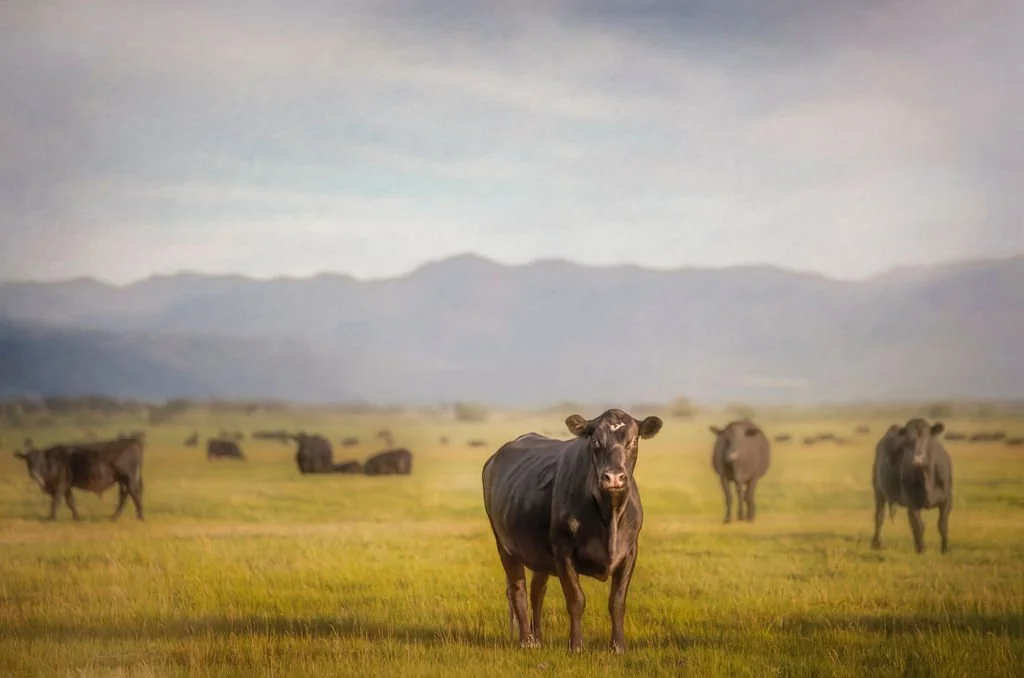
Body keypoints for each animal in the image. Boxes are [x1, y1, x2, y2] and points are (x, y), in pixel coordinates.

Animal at [13, 436, 144, 521]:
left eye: (40, 460)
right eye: (28, 460)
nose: (33, 473)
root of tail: (133, 441)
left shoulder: (60, 485)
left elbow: (55, 501)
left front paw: (51, 517)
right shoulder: (67, 486)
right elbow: (70, 501)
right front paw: (76, 517)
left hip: (128, 478)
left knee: (135, 494)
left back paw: (140, 516)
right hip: (122, 480)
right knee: (125, 495)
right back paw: (115, 517)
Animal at [482, 409, 663, 654]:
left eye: (633, 441)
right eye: (595, 441)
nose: (614, 477)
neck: (609, 516)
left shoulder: (630, 552)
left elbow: (617, 601)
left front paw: (618, 646)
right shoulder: (563, 551)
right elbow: (576, 600)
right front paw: (576, 645)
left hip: (539, 554)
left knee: (537, 591)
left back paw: (538, 638)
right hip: (504, 545)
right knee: (517, 589)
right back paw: (527, 640)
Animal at [871, 418, 953, 554]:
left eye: (926, 438)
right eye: (908, 440)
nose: (917, 459)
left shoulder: (947, 500)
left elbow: (943, 524)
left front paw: (945, 549)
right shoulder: (912, 502)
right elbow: (918, 526)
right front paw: (922, 550)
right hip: (878, 490)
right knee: (879, 516)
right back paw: (876, 543)